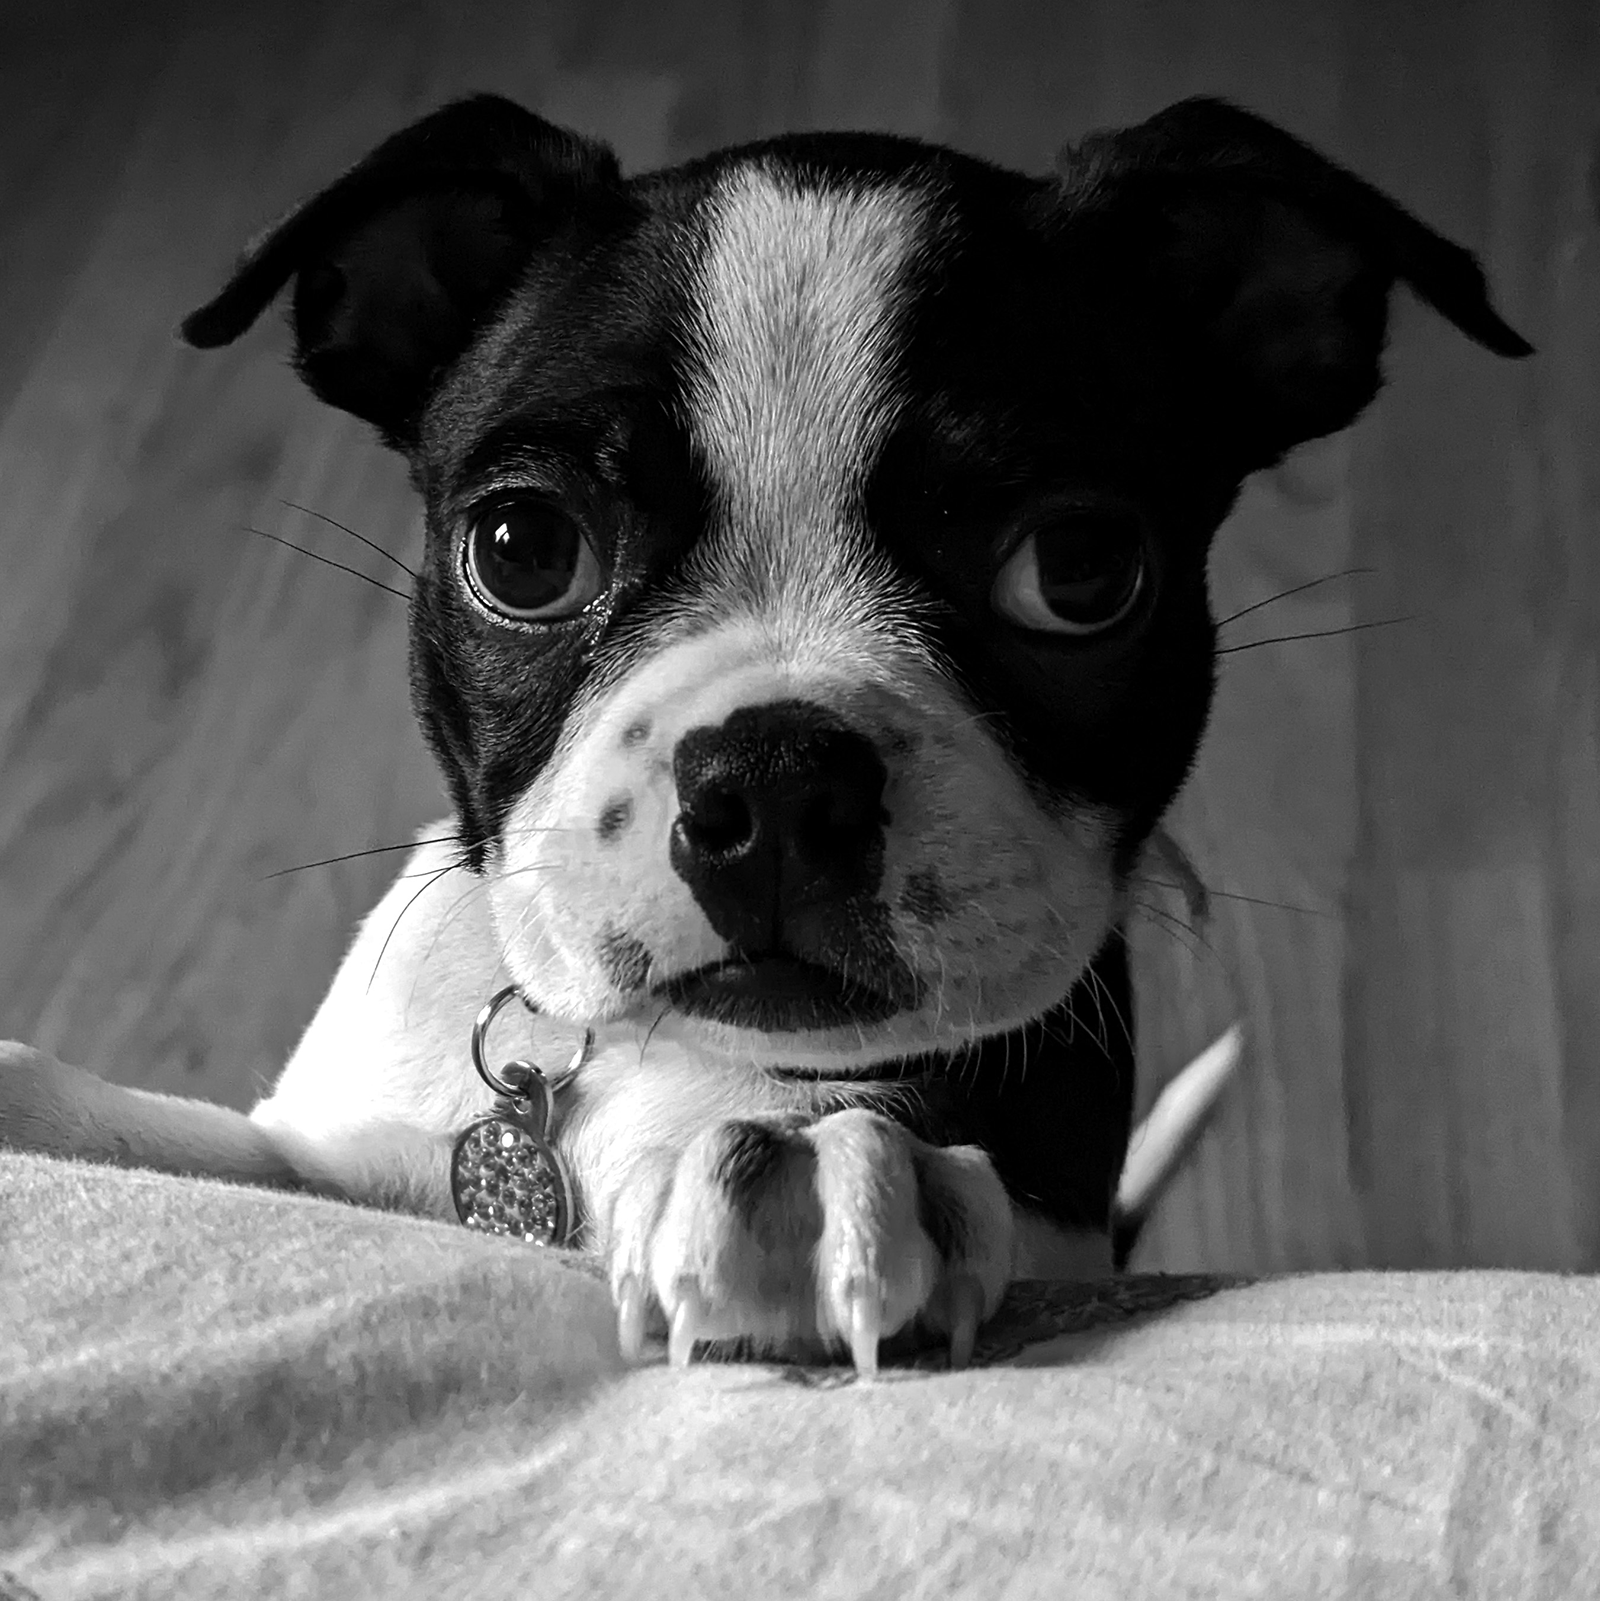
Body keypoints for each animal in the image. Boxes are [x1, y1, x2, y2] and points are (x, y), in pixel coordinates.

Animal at [0, 100, 1531, 1376]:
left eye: (1082, 573)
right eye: (523, 548)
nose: (778, 781)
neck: (609, 1058)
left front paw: (806, 1166)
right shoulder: (333, 1152)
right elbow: (143, 1128)